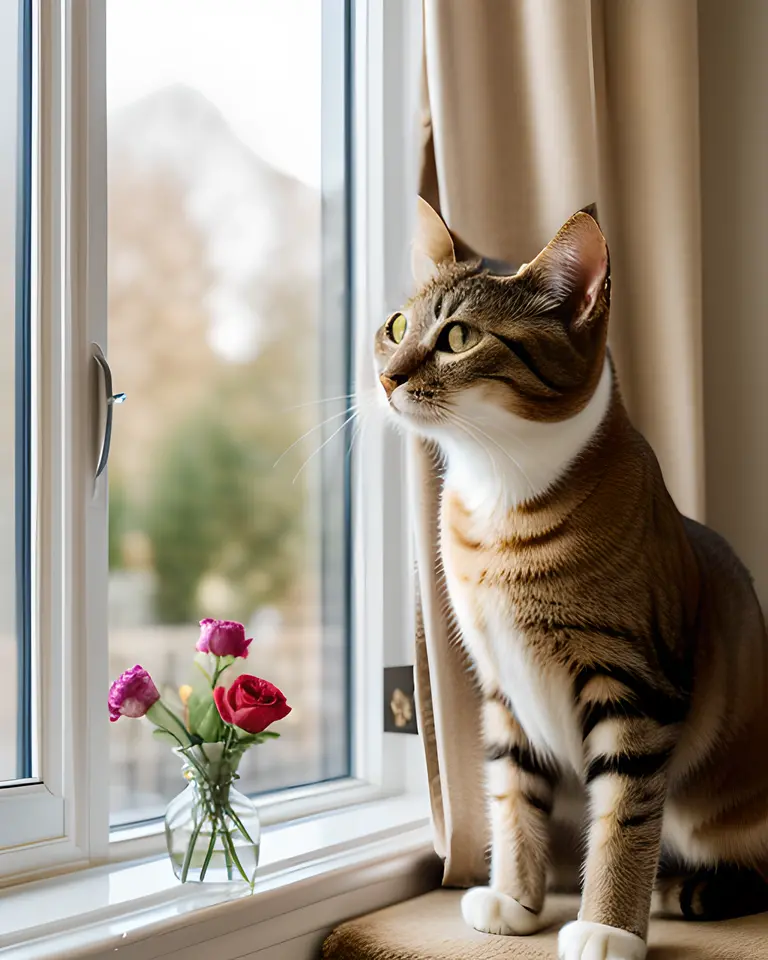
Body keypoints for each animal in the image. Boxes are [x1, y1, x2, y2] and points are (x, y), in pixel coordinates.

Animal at [376, 197, 768, 960]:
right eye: (399, 326)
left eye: (459, 336)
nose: (388, 377)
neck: (500, 502)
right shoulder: (503, 687)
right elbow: (512, 795)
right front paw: (516, 900)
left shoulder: (637, 686)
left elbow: (622, 815)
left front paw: (608, 925)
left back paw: (686, 890)